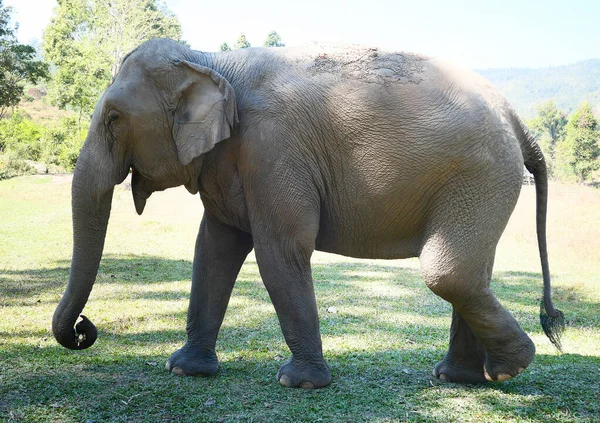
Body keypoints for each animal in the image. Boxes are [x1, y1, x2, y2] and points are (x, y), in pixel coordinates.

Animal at [51, 38, 564, 390]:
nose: (83, 329)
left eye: (114, 119)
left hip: (479, 177)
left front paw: (297, 383)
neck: (210, 59)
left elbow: (280, 250)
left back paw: (509, 367)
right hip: (482, 185)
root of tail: (518, 120)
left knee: (448, 272)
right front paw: (184, 369)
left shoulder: (274, 149)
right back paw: (461, 377)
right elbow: (213, 249)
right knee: (471, 272)